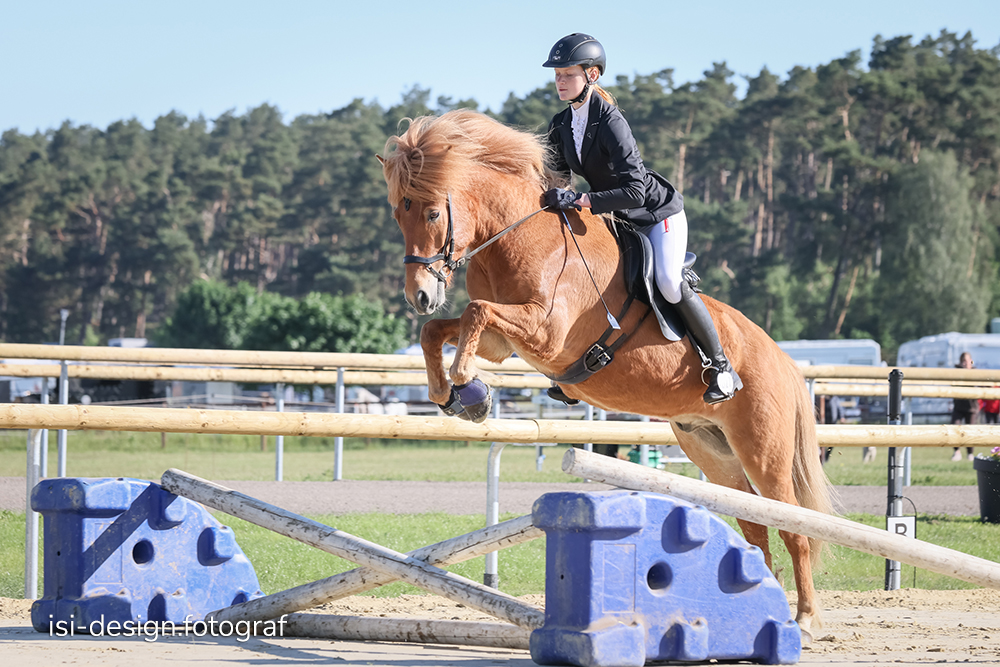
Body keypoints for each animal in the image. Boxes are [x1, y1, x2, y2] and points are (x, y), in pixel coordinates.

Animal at [378, 111, 832, 640]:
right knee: (756, 526)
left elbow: (474, 311)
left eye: (432, 214)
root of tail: (783, 360)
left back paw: (806, 619)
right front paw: (453, 395)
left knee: (794, 525)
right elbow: (440, 329)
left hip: (764, 450)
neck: (517, 236)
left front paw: (469, 389)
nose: (420, 296)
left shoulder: (545, 331)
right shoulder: (502, 343)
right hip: (713, 450)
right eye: (398, 215)